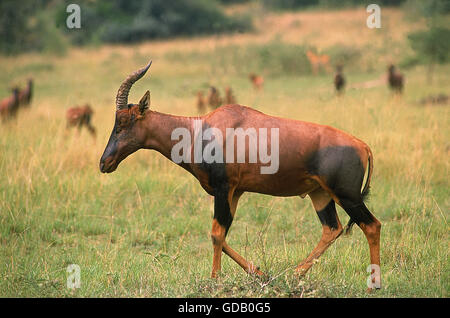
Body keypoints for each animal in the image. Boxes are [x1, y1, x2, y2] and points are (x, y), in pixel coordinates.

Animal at [99, 61, 384, 290]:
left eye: (123, 122)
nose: (104, 163)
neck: (200, 129)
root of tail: (363, 146)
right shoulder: (234, 192)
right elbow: (222, 234)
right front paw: (260, 273)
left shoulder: (223, 188)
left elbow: (216, 233)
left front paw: (214, 280)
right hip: (320, 194)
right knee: (332, 229)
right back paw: (293, 275)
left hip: (347, 195)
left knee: (372, 225)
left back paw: (374, 285)